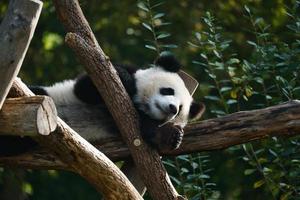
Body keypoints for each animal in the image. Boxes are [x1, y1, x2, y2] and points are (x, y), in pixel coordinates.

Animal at [0, 53, 204, 155]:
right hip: (46, 98)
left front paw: (170, 136)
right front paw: (127, 81)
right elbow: (88, 86)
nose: (172, 108)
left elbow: (146, 129)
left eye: (181, 110)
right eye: (168, 90)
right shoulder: (87, 86)